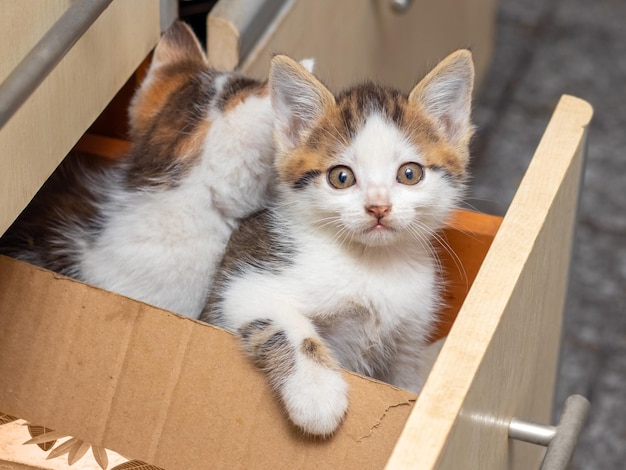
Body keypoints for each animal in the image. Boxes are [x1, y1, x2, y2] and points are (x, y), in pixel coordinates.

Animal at [201, 49, 472, 436]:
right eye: (341, 177)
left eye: (410, 173)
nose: (378, 207)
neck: (370, 264)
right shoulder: (243, 285)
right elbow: (286, 323)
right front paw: (316, 393)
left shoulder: (407, 338)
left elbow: (405, 380)